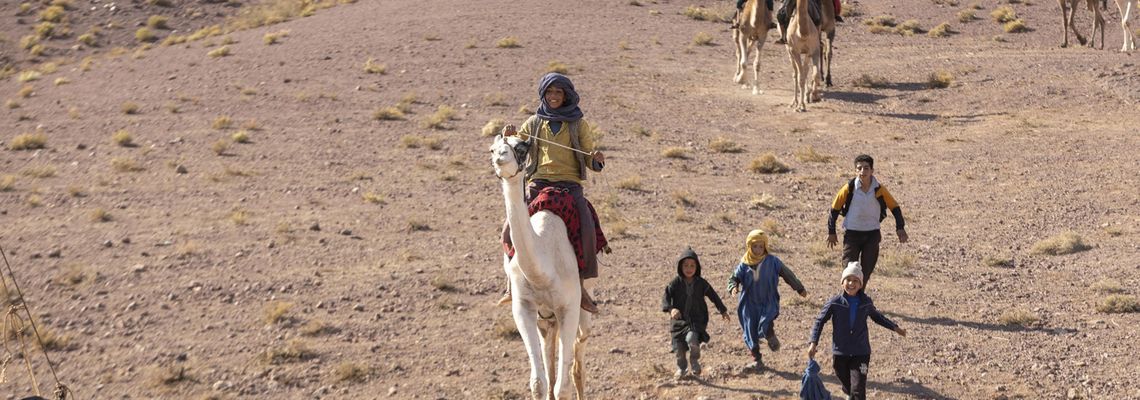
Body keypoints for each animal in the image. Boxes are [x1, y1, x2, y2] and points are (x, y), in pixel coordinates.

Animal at [492, 135, 592, 400]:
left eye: (521, 148)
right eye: (492, 149)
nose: (500, 157)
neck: (543, 270)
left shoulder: (568, 307)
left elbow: (563, 388)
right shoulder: (523, 307)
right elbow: (538, 382)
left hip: (583, 302)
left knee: (580, 349)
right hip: (545, 316)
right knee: (550, 351)